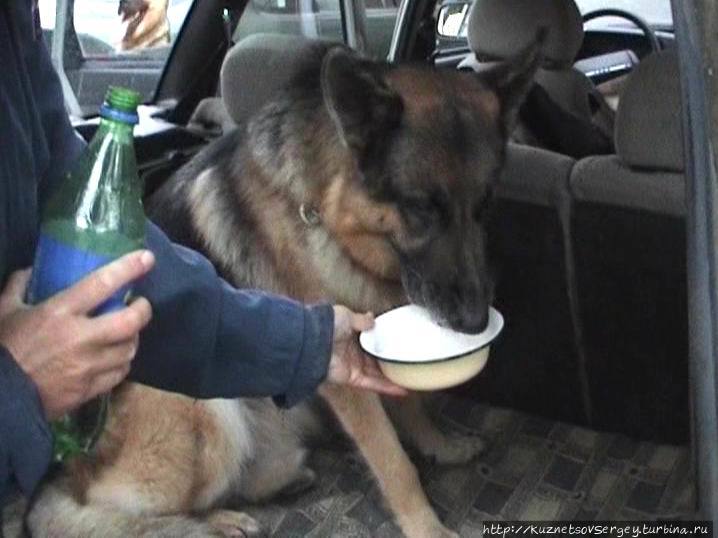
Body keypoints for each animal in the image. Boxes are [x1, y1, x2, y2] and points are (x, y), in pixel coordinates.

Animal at [25, 39, 540, 532]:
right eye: (421, 207)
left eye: (484, 204)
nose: (474, 323)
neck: (326, 211)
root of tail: (63, 470)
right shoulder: (343, 377)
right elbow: (393, 461)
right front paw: (427, 527)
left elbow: (412, 405)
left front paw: (439, 444)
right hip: (206, 412)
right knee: (117, 510)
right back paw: (217, 522)